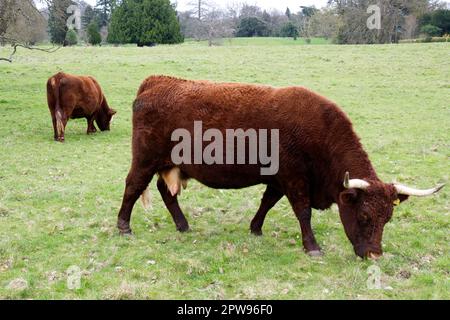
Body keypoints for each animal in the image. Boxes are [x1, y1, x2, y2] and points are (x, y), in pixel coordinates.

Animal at [116, 75, 442, 260]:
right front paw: (312, 247)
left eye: (388, 217)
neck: (319, 130)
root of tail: (157, 82)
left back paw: (182, 225)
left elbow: (267, 202)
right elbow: (303, 211)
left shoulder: (278, 179)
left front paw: (255, 228)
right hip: (145, 159)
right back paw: (124, 227)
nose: (374, 255)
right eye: (363, 216)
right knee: (133, 185)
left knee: (164, 190)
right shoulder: (295, 178)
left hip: (171, 164)